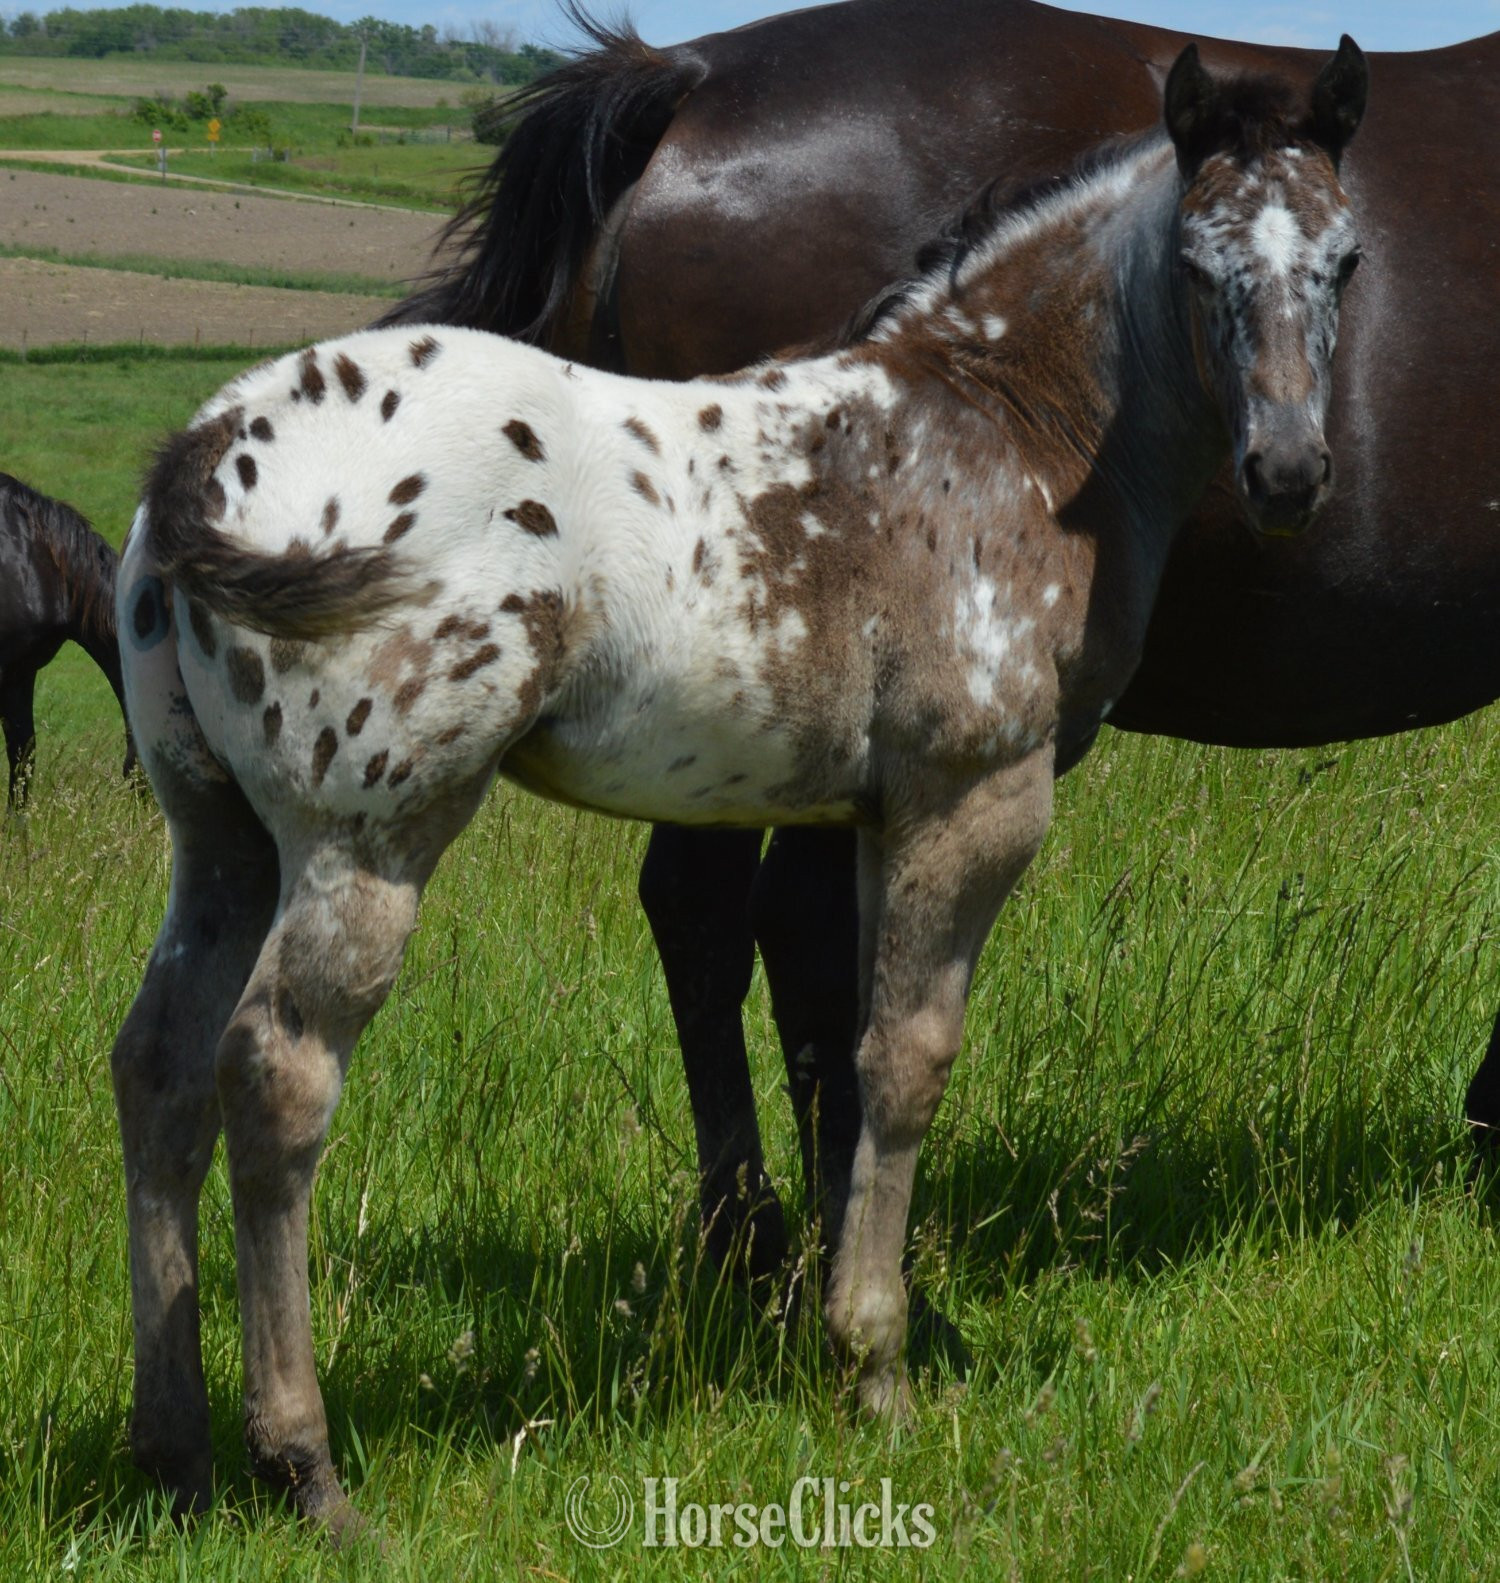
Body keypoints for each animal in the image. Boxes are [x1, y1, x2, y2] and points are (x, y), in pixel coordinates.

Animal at [112, 42, 1365, 1528]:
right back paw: (304, 1464)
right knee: (276, 1076)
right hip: (366, 836)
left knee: (160, 1068)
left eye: (1346, 259)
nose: (1287, 472)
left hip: (221, 837)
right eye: (1196, 262)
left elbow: (856, 1057)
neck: (1000, 427)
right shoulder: (975, 801)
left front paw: (857, 1326)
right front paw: (877, 1367)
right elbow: (909, 1060)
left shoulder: (885, 816)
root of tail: (205, 450)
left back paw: (177, 1450)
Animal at [385, 1, 1500, 1275]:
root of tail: (687, 73)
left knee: (711, 913)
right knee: (772, 923)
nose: (1289, 471)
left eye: (1351, 265)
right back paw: (796, 1246)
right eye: (1196, 269)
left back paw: (752, 1235)